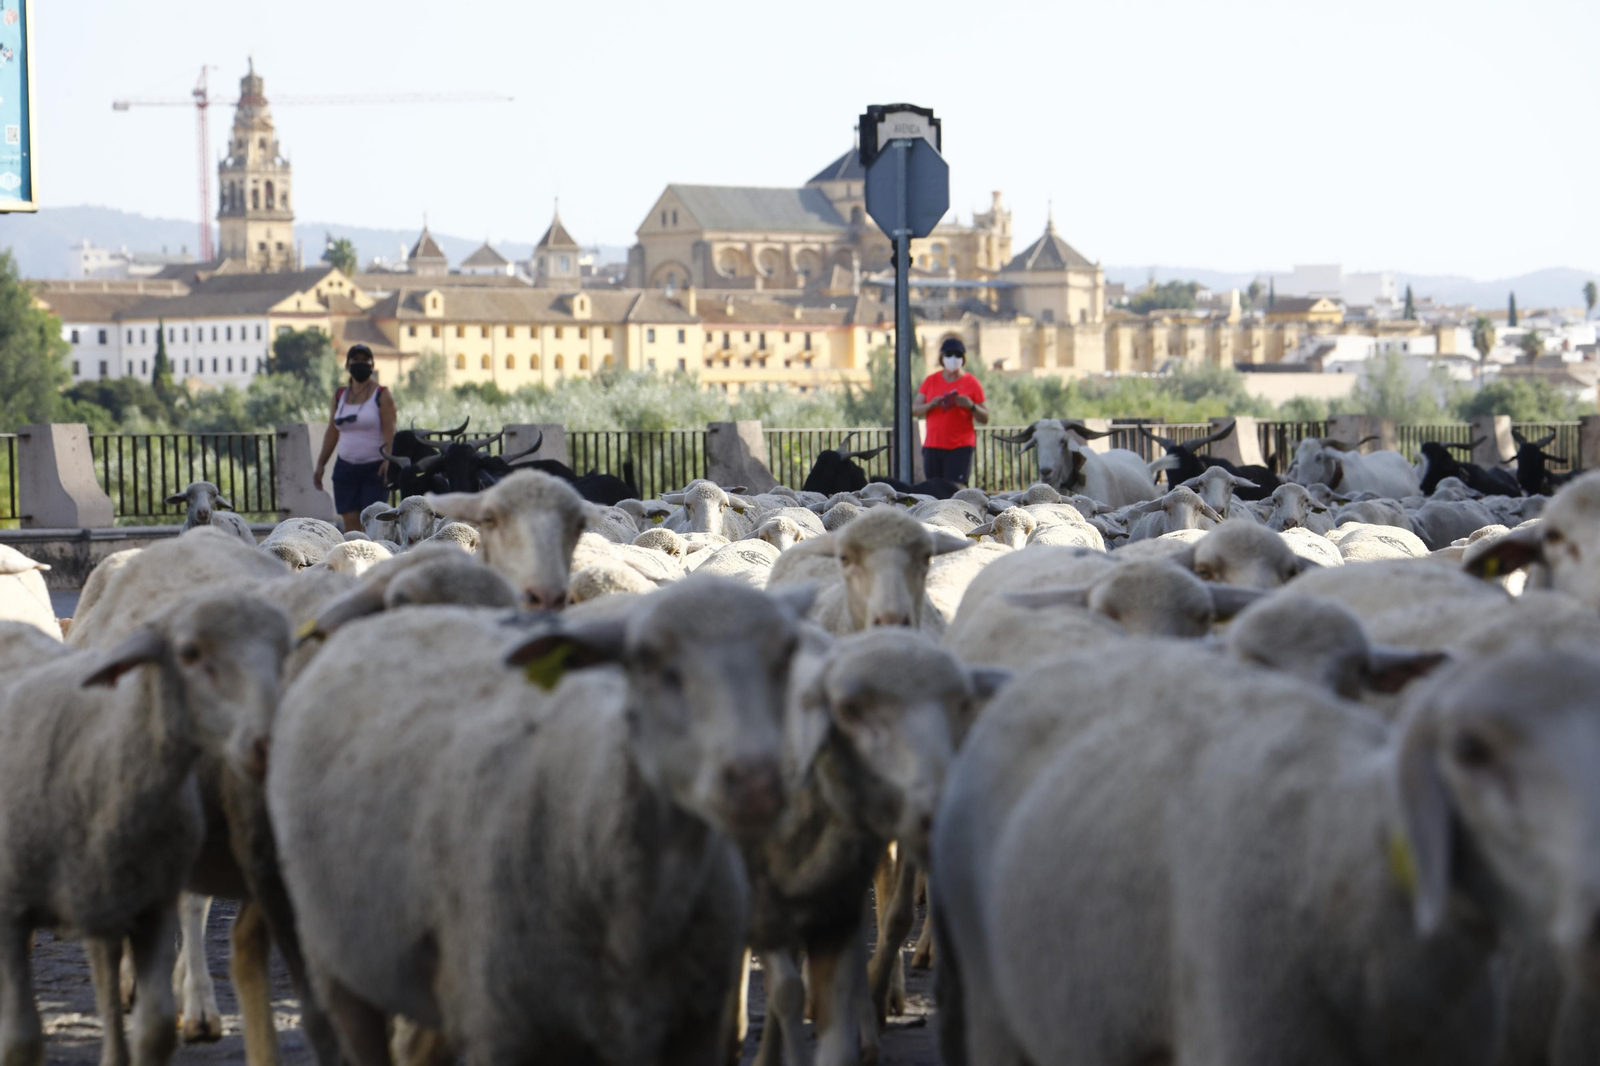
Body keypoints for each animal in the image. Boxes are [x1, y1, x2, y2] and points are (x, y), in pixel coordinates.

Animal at [268, 578, 817, 1065]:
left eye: (787, 654)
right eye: (646, 660)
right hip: (336, 961)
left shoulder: (692, 1028)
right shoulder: (505, 1027)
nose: (756, 782)